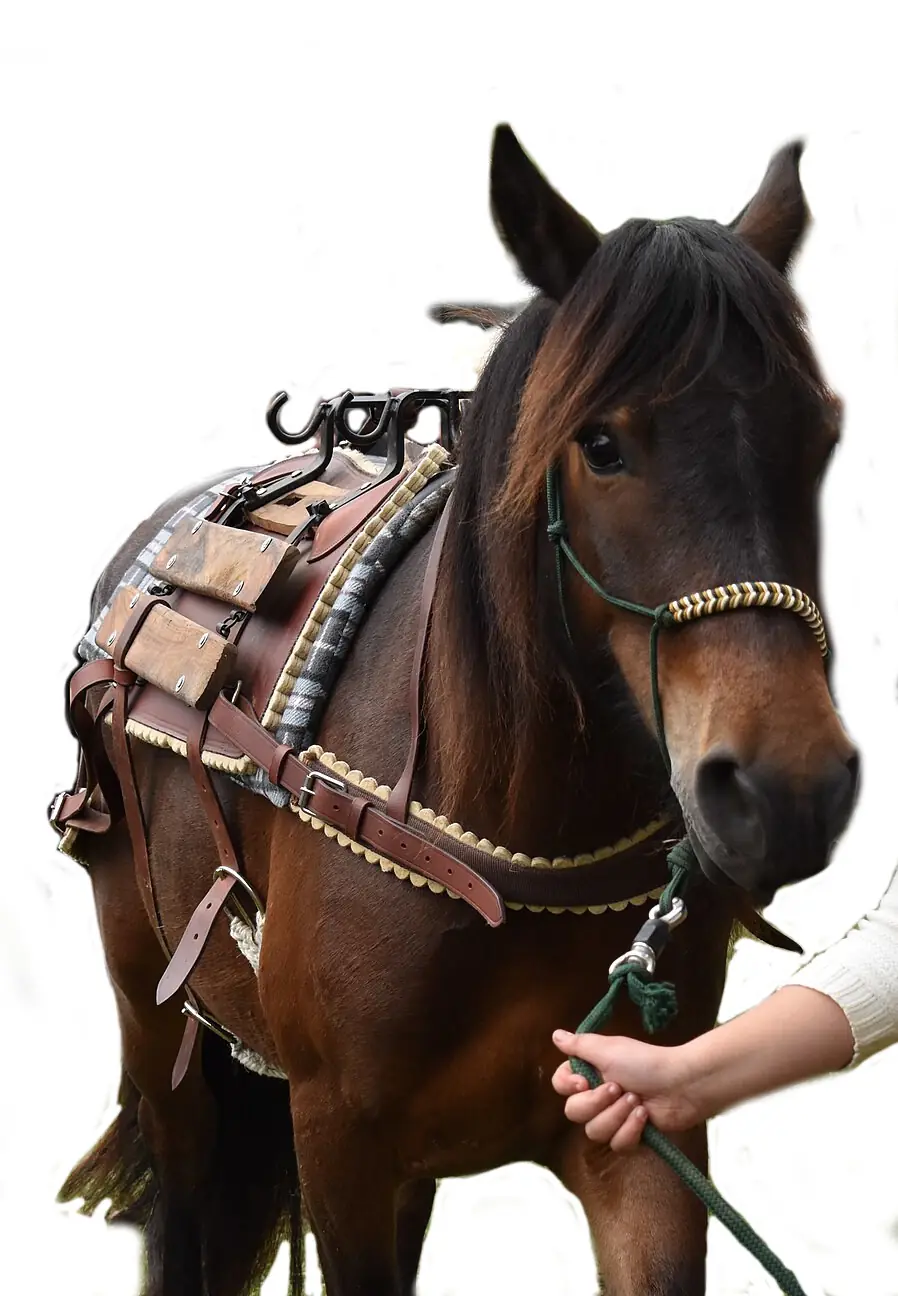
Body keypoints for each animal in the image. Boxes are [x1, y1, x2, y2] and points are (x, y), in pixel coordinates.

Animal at [56, 124, 858, 1296]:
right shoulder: (338, 1144)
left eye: (822, 436)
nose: (786, 788)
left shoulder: (637, 1127)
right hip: (161, 1033)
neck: (503, 826)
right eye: (601, 443)